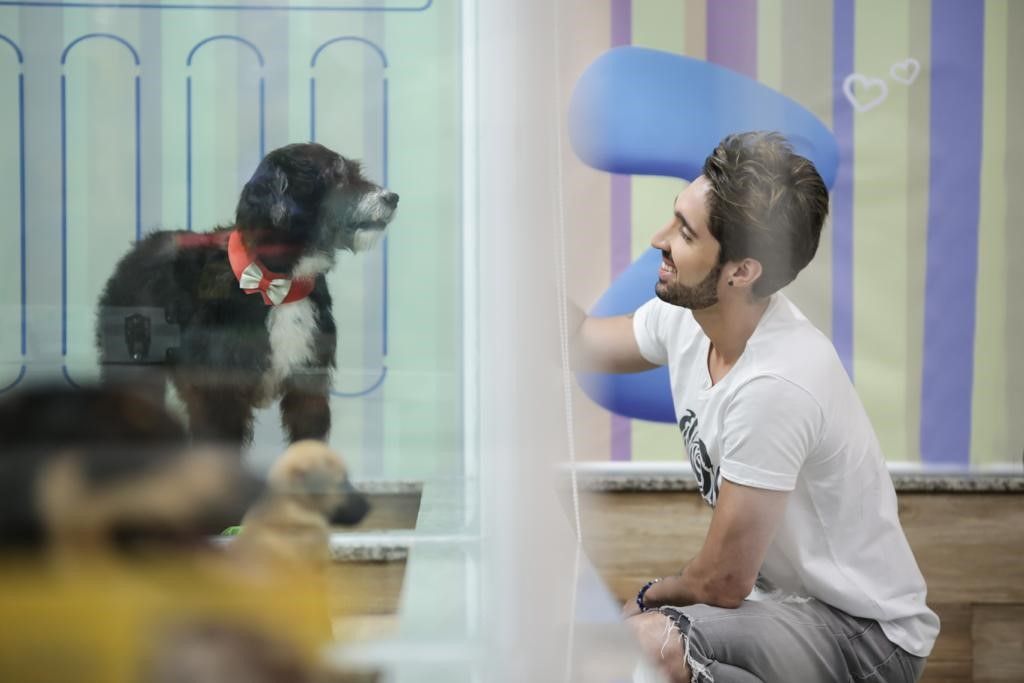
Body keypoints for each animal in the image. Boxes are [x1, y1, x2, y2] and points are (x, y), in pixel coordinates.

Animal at [96, 143, 397, 448]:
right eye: (336, 175)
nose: (393, 198)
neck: (277, 281)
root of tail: (140, 247)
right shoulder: (219, 393)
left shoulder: (308, 382)